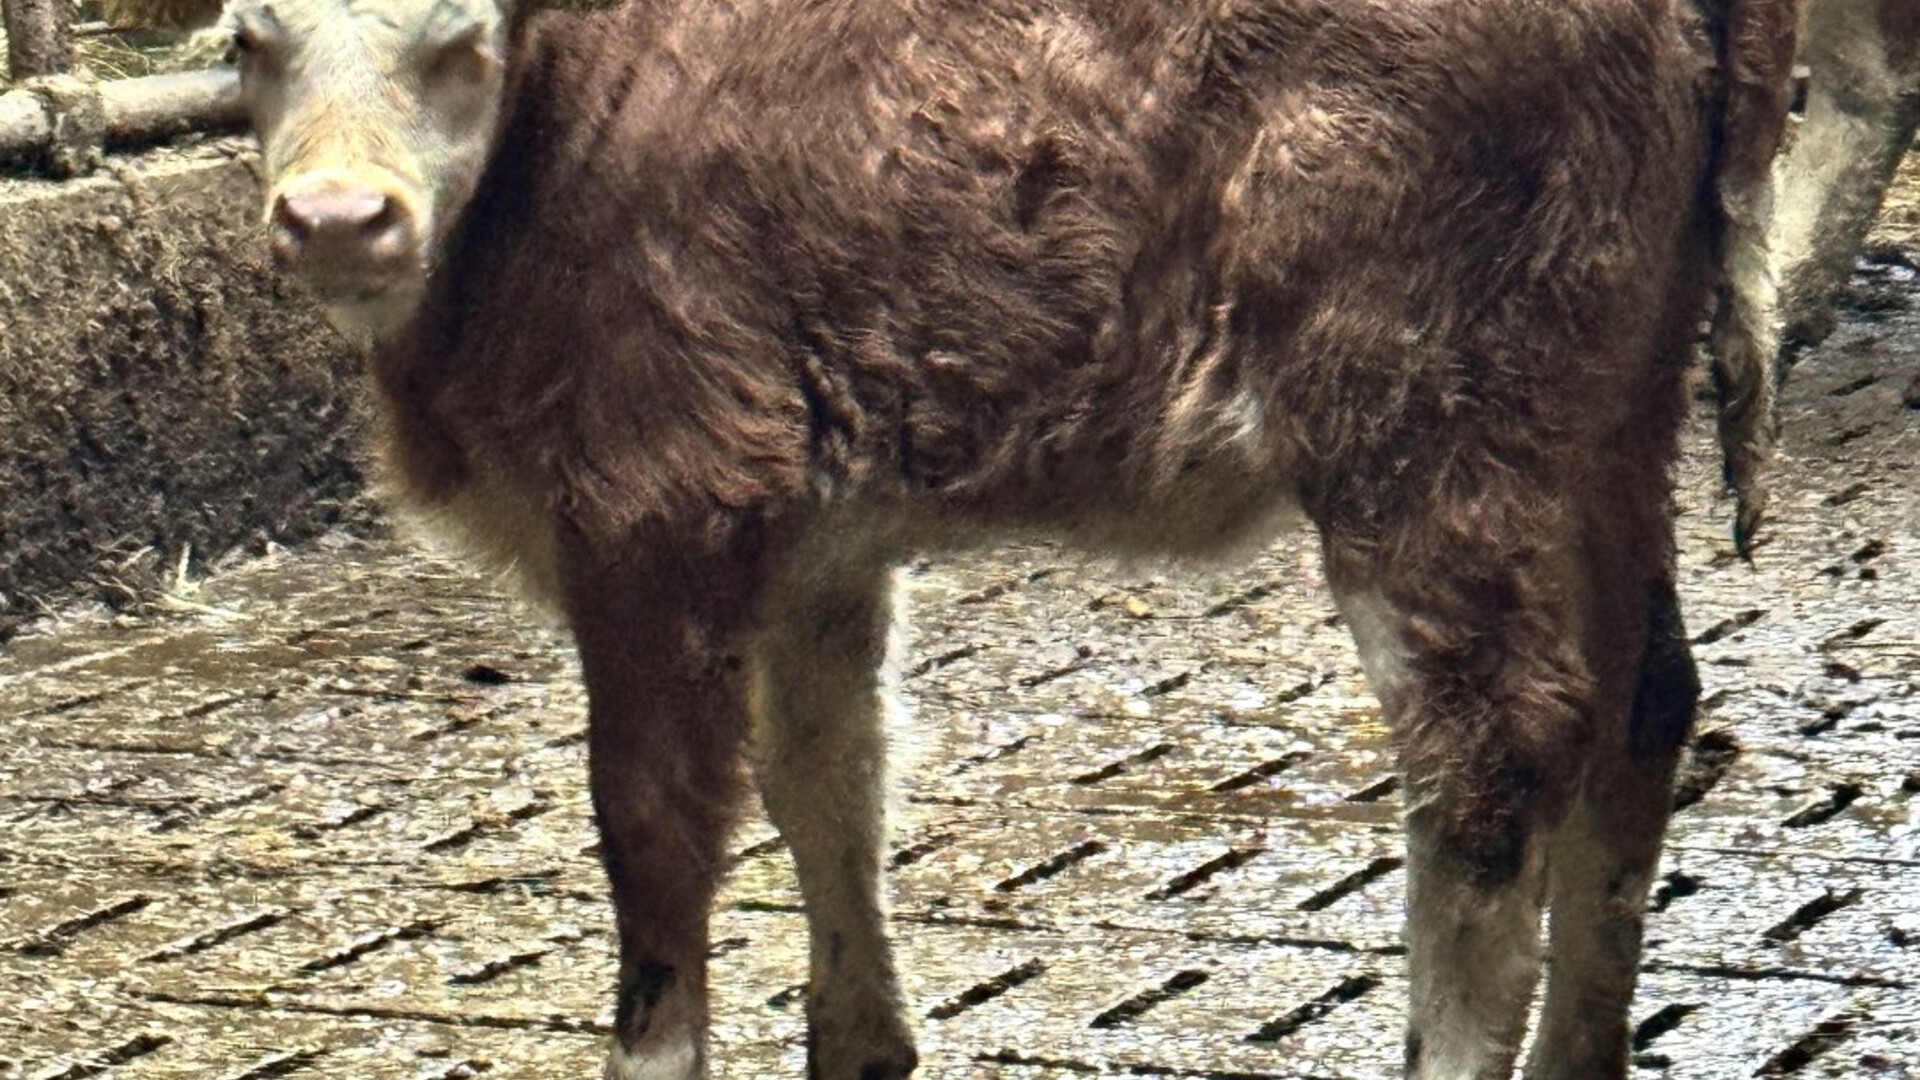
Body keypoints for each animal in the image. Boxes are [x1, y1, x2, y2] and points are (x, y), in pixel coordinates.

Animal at [218, 0, 1798, 1077]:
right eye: (252, 41)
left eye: (458, 43)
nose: (337, 220)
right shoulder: (814, 546)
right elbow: (830, 781)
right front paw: (865, 1043)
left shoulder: (657, 505)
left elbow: (657, 827)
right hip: (1606, 414)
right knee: (1646, 707)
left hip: (1424, 425)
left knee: (1494, 756)